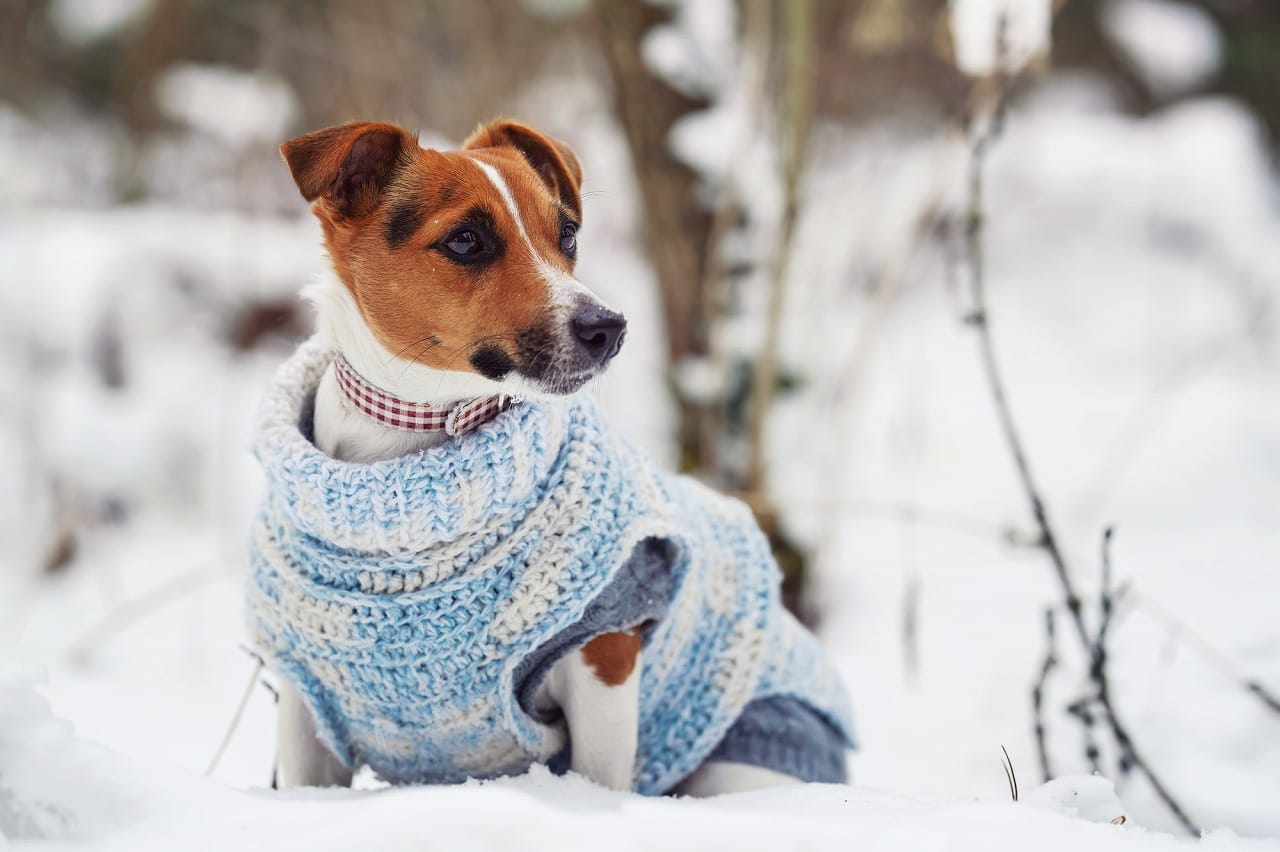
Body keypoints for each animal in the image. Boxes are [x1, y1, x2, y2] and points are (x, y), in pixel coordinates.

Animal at [245, 116, 855, 793]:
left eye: (567, 234)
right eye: (466, 241)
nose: (609, 328)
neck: (413, 439)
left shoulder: (603, 653)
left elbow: (598, 780)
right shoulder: (303, 704)